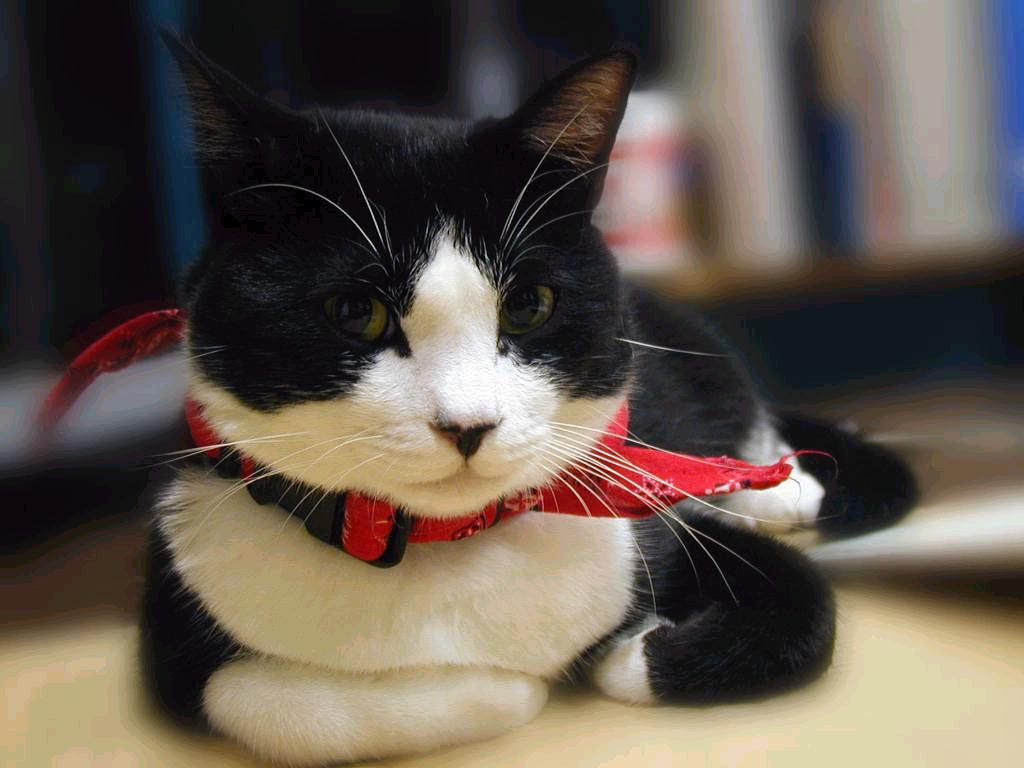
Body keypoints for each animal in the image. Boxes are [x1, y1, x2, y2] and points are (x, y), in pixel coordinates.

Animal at [141, 34, 917, 765]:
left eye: (527, 305)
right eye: (356, 313)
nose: (468, 425)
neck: (448, 549)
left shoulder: (647, 530)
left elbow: (810, 611)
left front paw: (627, 655)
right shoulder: (179, 611)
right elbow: (264, 701)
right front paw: (509, 686)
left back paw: (777, 490)